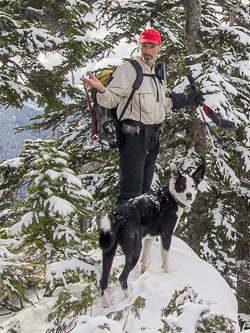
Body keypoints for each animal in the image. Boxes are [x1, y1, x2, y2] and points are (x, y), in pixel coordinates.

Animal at [99, 161, 205, 306]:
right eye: (182, 186)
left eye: (193, 185)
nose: (189, 195)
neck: (171, 197)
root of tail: (117, 215)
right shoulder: (166, 235)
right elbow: (165, 259)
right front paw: (168, 274)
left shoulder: (149, 238)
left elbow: (145, 259)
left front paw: (143, 273)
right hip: (134, 249)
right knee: (122, 277)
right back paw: (130, 297)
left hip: (109, 251)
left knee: (103, 280)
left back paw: (106, 303)